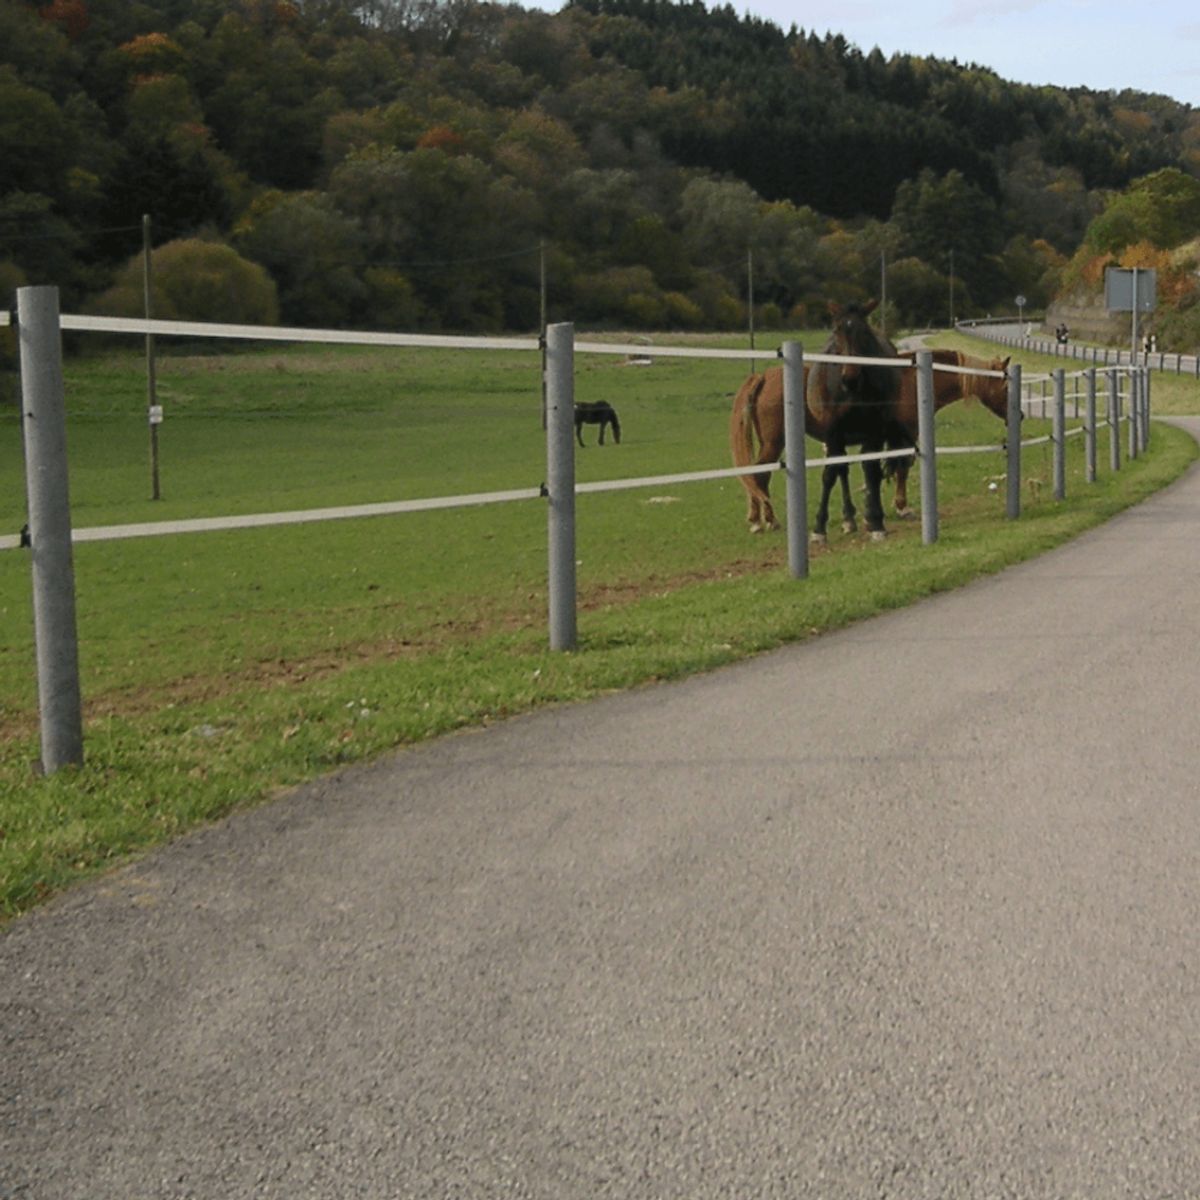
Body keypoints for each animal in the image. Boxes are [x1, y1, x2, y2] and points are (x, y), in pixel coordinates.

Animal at [806, 300, 902, 544]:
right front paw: (819, 528)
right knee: (841, 468)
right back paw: (849, 518)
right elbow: (830, 474)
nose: (849, 378)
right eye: (837, 330)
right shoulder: (832, 432)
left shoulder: (875, 431)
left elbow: (871, 470)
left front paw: (876, 521)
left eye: (864, 332)